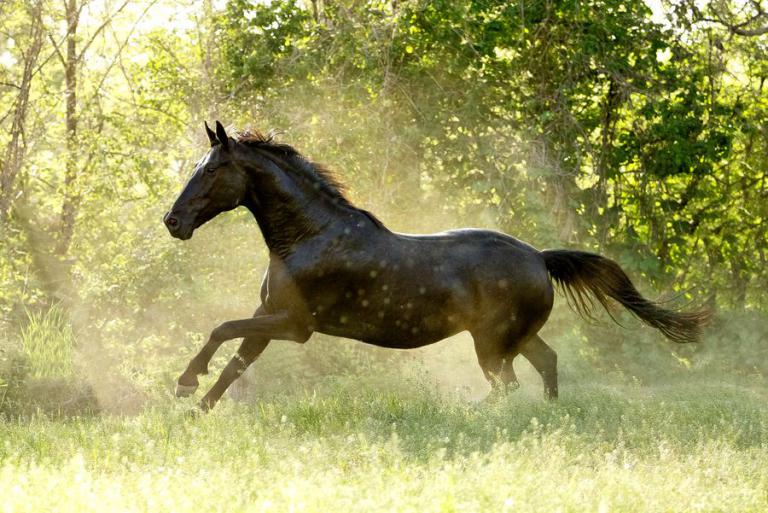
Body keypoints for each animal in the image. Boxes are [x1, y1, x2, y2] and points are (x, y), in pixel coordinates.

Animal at [163, 121, 709, 411]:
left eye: (213, 169)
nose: (173, 221)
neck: (308, 237)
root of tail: (539, 257)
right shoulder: (269, 318)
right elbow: (235, 361)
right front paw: (197, 410)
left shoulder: (295, 325)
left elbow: (220, 329)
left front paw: (185, 383)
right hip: (516, 337)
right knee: (546, 364)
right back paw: (548, 414)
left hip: (491, 343)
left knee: (507, 385)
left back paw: (475, 413)